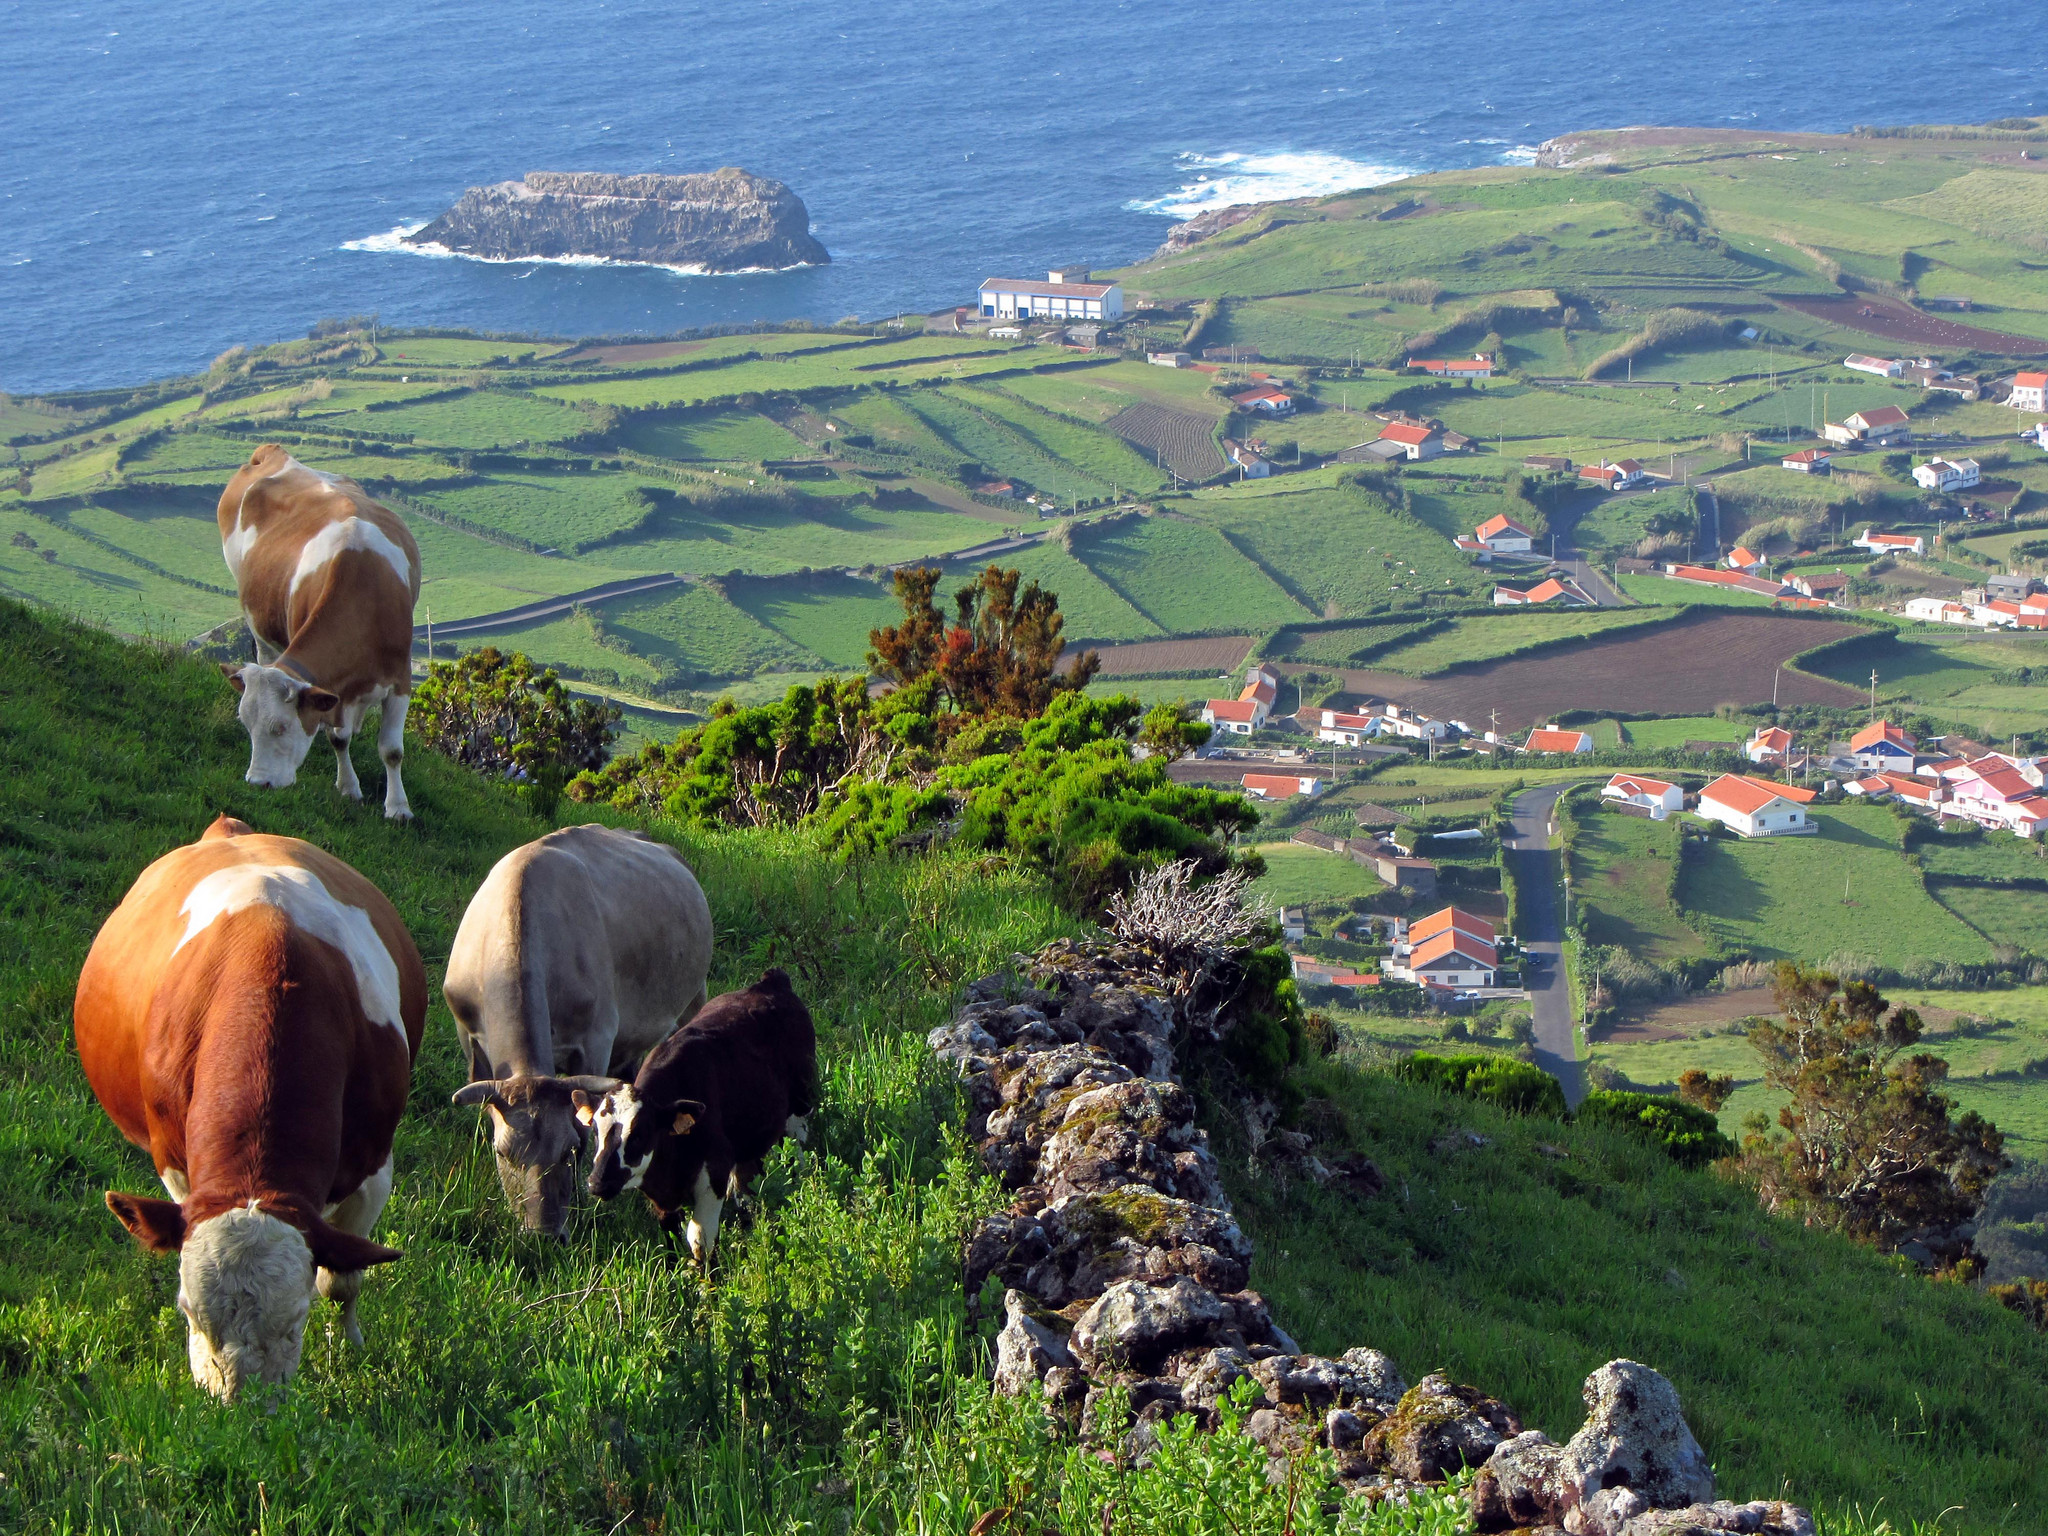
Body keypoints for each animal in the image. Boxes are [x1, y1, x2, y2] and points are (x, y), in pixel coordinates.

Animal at [73, 819, 423, 1409]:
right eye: (187, 1311)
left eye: (297, 1318)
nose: (243, 1412)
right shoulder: (177, 1165)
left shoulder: (375, 1166)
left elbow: (343, 1278)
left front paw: (347, 1353)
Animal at [214, 444, 421, 823]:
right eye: (245, 725)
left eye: (280, 727)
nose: (258, 783)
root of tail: (274, 453)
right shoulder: (331, 691)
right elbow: (338, 738)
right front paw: (349, 788)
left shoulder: (400, 678)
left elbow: (392, 750)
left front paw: (398, 808)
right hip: (256, 620)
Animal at [444, 831, 716, 1236]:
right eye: (503, 1152)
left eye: (569, 1150)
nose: (544, 1235)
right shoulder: (469, 1037)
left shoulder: (595, 1041)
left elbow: (587, 1120)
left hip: (693, 996)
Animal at [577, 966, 815, 1269]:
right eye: (596, 1132)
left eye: (640, 1133)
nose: (597, 1183)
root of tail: (770, 981)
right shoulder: (661, 1195)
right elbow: (670, 1234)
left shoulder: (714, 1171)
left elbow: (701, 1241)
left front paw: (710, 1281)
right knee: (744, 1180)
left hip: (800, 1102)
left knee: (797, 1145)